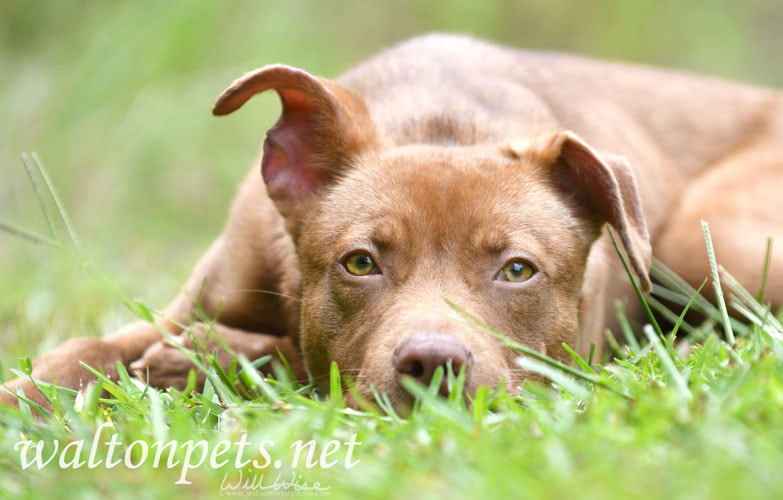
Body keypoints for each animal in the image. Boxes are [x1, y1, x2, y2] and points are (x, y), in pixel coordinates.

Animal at [1, 35, 783, 410]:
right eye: (360, 263)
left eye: (517, 270)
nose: (432, 365)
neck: (442, 122)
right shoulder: (191, 299)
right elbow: (86, 348)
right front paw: (29, 396)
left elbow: (294, 362)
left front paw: (207, 360)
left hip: (707, 241)